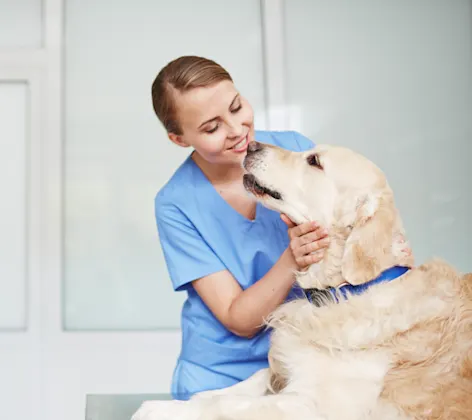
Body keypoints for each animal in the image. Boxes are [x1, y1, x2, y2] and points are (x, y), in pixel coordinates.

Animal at [130, 142, 472, 420]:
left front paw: (158, 410)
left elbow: (228, 405)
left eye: (314, 161)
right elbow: (238, 386)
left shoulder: (318, 406)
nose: (251, 145)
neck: (342, 291)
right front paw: (178, 403)